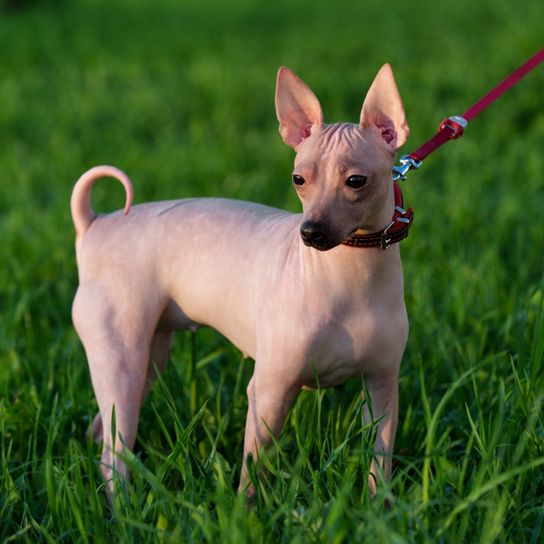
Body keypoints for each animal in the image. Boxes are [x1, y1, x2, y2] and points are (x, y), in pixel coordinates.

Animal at [73, 63, 412, 498]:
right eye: (298, 179)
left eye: (356, 181)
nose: (311, 232)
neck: (351, 278)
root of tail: (94, 225)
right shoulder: (268, 392)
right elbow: (253, 472)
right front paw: (245, 510)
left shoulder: (383, 387)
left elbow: (378, 463)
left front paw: (379, 508)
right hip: (121, 360)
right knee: (113, 453)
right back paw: (123, 505)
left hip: (150, 357)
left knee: (103, 427)